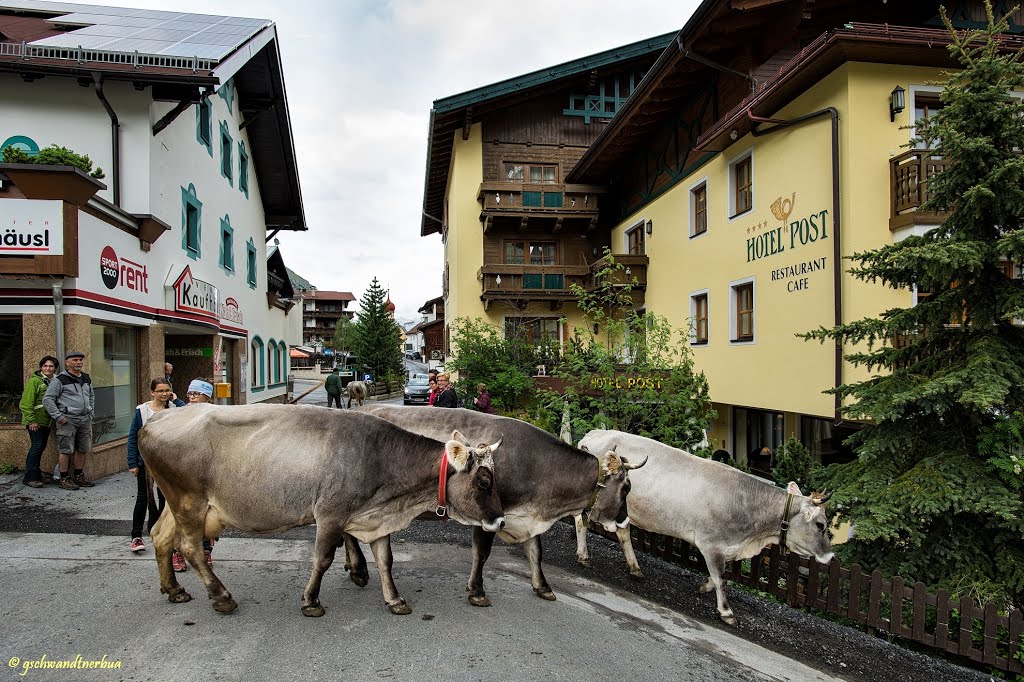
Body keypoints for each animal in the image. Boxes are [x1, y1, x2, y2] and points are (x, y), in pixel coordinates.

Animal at [138, 403, 505, 614]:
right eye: (484, 482)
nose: (500, 520)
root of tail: (154, 421)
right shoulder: (330, 514)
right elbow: (323, 559)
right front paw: (311, 601)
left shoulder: (374, 517)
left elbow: (385, 560)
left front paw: (395, 599)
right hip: (190, 500)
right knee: (189, 547)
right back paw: (221, 596)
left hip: (177, 503)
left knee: (160, 536)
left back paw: (174, 589)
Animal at [358, 401, 647, 602]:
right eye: (627, 488)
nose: (624, 519)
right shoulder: (487, 513)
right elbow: (482, 552)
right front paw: (476, 590)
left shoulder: (526, 517)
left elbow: (535, 552)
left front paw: (543, 587)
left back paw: (357, 570)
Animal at [577, 428, 831, 622]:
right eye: (820, 525)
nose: (830, 557)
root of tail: (594, 433)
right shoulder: (711, 543)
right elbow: (721, 577)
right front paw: (726, 612)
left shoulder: (726, 547)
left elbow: (719, 574)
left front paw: (705, 586)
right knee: (581, 522)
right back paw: (583, 555)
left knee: (623, 532)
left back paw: (635, 568)